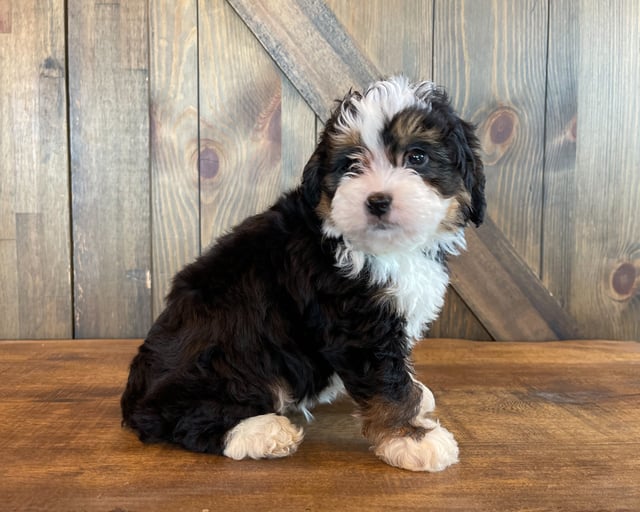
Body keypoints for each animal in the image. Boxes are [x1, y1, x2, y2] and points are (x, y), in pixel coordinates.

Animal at [121, 76, 484, 472]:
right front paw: (412, 438)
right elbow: (387, 382)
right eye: (351, 163)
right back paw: (261, 432)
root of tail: (134, 394)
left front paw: (418, 396)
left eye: (417, 157)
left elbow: (400, 372)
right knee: (180, 417)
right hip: (225, 347)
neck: (384, 249)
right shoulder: (357, 325)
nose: (377, 200)